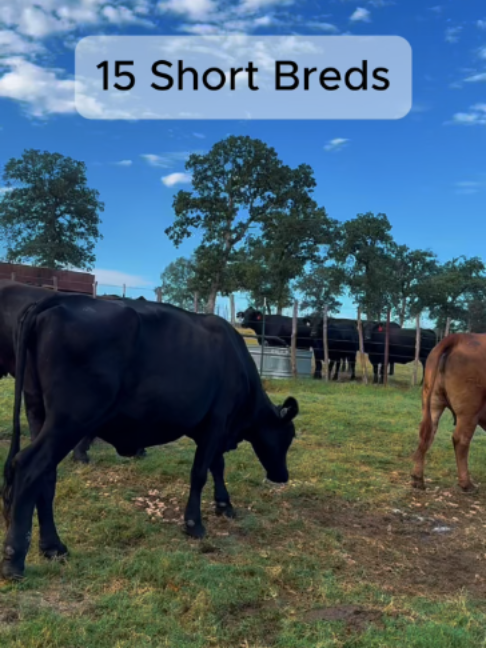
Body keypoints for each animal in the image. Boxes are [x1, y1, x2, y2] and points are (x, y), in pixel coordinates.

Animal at [411, 333, 486, 493]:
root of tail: (460, 337)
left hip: (432, 400)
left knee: (427, 434)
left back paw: (417, 478)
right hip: (469, 411)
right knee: (461, 439)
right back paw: (466, 484)